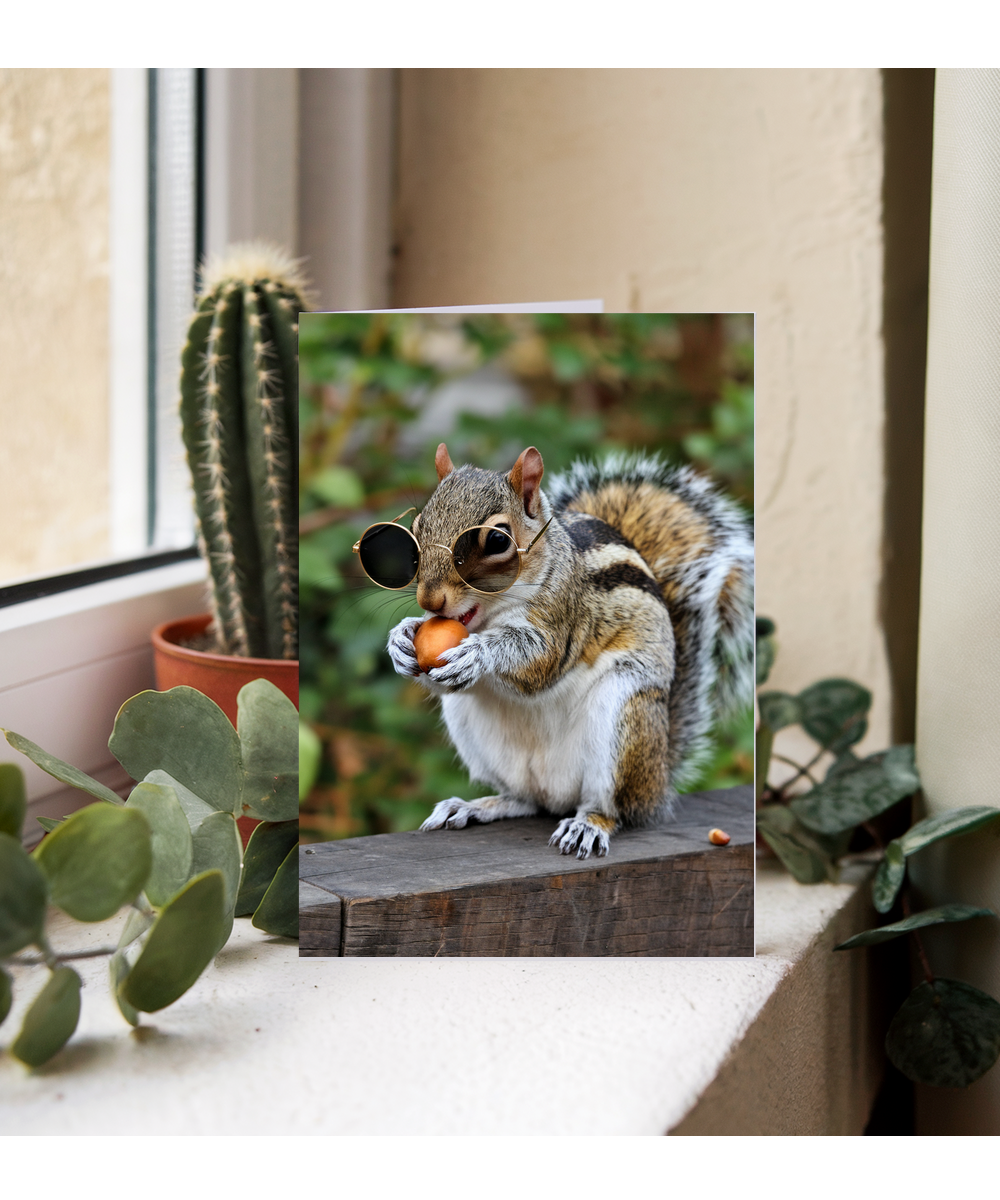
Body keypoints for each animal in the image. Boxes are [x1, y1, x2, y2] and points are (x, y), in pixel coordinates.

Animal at [386, 442, 754, 859]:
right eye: (417, 529)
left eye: (497, 541)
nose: (429, 600)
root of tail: (656, 782)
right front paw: (401, 639)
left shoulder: (566, 614)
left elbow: (540, 662)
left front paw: (478, 654)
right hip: (478, 737)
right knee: (525, 800)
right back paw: (474, 807)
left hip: (623, 720)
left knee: (612, 807)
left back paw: (588, 825)